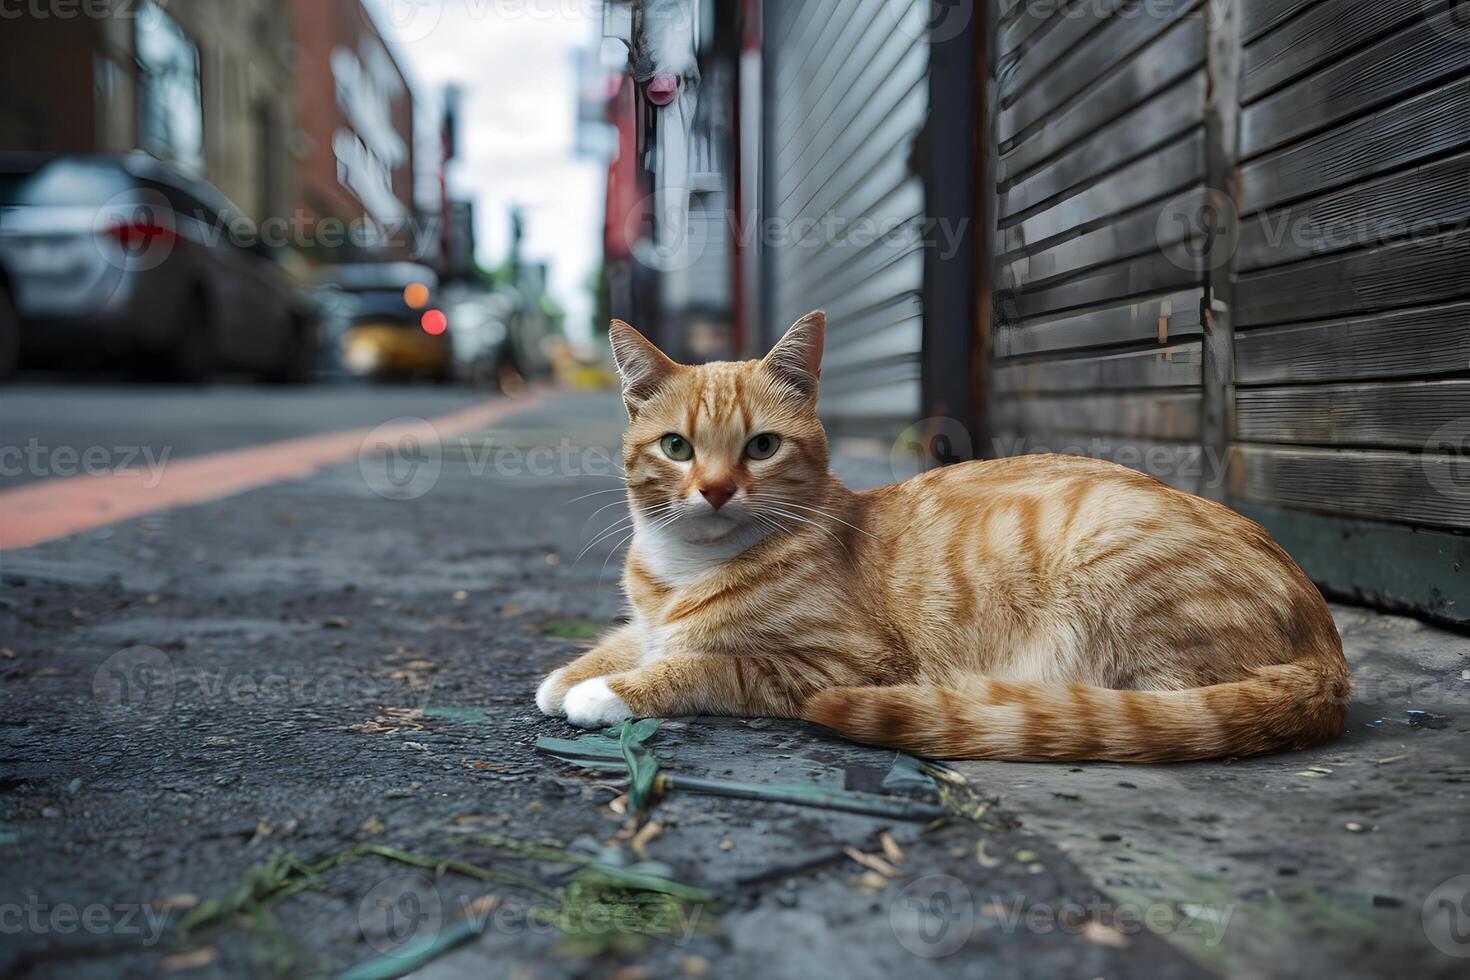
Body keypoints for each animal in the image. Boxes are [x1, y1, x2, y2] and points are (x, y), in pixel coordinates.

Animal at [535, 310, 1346, 764]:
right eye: (676, 447)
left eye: (761, 446)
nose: (713, 490)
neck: (686, 567)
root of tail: (1328, 653)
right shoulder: (650, 618)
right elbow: (628, 637)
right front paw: (570, 674)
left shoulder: (833, 665)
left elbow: (704, 666)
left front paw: (608, 691)